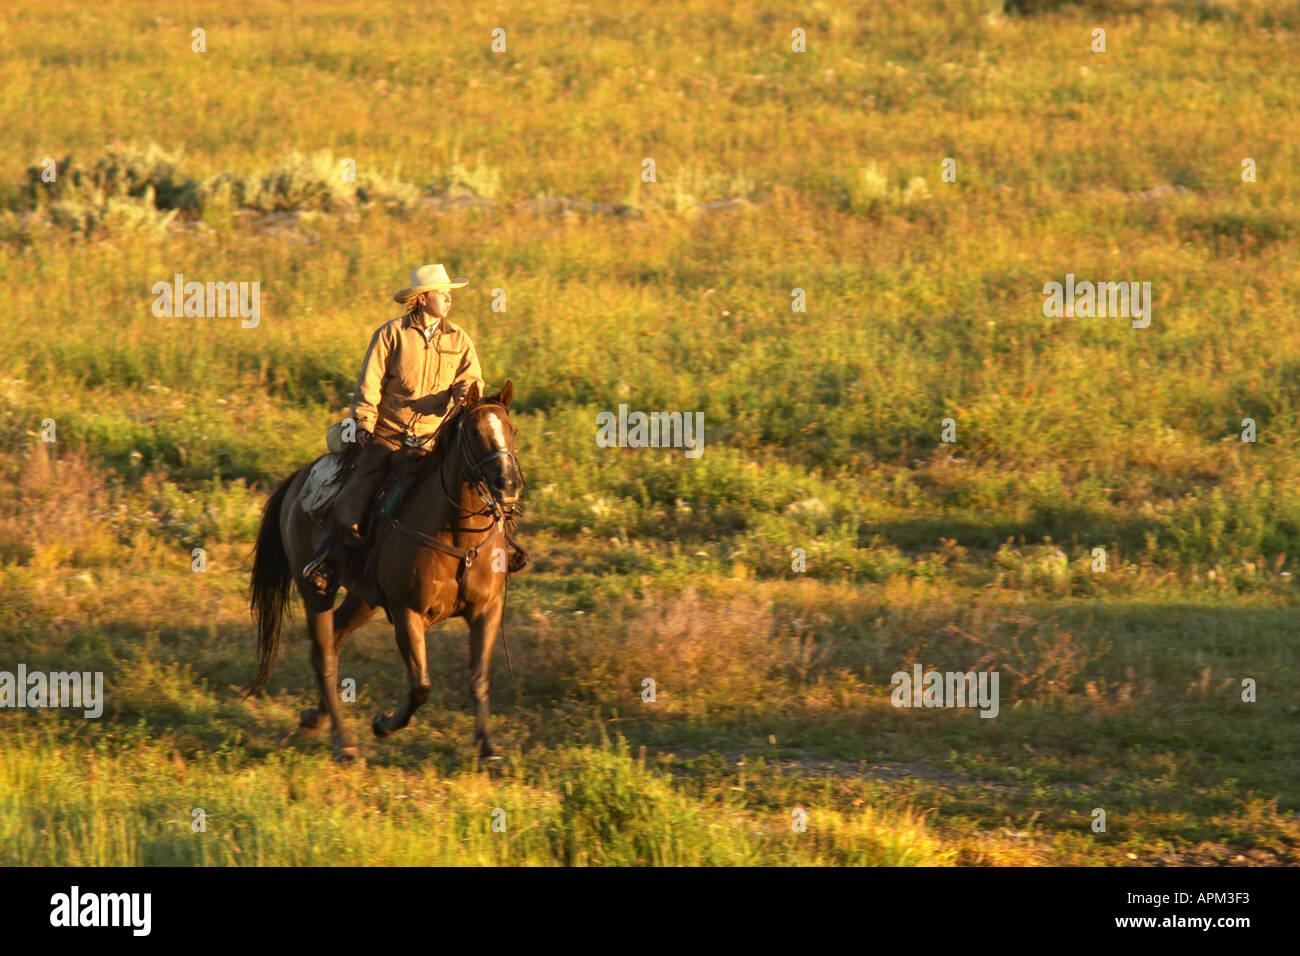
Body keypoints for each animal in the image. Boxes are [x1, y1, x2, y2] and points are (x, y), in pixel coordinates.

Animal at [241, 382, 525, 764]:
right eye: (475, 433)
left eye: (512, 430)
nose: (508, 484)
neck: (457, 538)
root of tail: (298, 478)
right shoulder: (408, 613)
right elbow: (420, 686)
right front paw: (383, 724)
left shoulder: (486, 610)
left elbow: (478, 677)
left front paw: (488, 749)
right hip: (316, 591)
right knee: (324, 656)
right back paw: (343, 744)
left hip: (364, 598)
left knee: (334, 639)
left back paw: (314, 716)